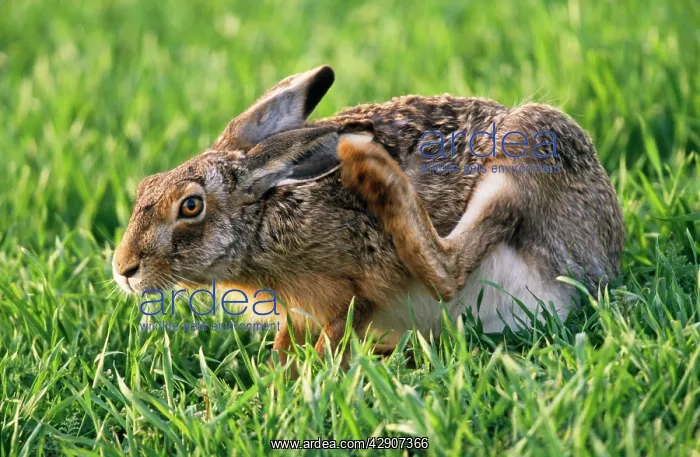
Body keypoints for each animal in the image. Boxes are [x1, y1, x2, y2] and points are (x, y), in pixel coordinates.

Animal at [113, 65, 625, 362]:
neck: (261, 219)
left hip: (529, 148)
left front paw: (302, 382)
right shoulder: (298, 312)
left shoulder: (356, 285)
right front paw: (277, 375)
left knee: (447, 272)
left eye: (191, 206)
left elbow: (340, 327)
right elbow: (287, 341)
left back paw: (372, 167)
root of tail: (603, 265)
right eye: (144, 187)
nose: (123, 270)